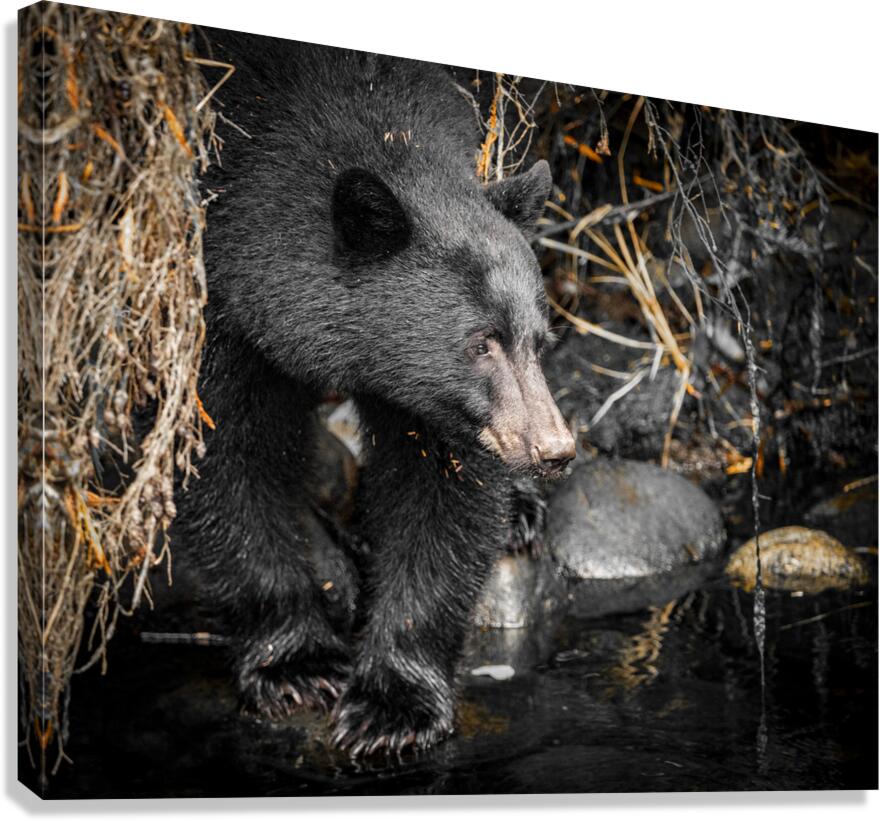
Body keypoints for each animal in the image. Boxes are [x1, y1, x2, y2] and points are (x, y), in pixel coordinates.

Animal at [172, 29, 575, 757]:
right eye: (482, 342)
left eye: (537, 339)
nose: (553, 449)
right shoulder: (215, 301)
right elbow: (222, 453)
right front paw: (297, 665)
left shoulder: (444, 406)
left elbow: (443, 491)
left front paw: (393, 704)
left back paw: (522, 511)